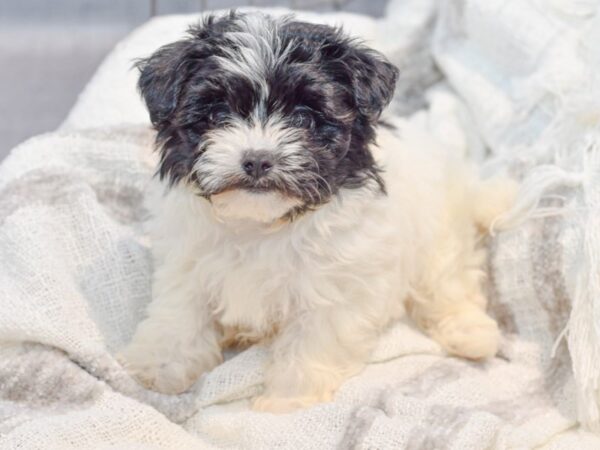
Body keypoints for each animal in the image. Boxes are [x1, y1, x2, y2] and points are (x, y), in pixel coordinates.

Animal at [119, 11, 516, 412]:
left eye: (303, 119)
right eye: (217, 114)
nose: (258, 159)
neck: (262, 223)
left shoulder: (337, 284)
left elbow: (312, 340)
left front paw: (288, 398)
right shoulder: (186, 263)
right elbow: (180, 313)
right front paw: (158, 367)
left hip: (439, 236)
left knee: (449, 283)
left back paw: (471, 333)